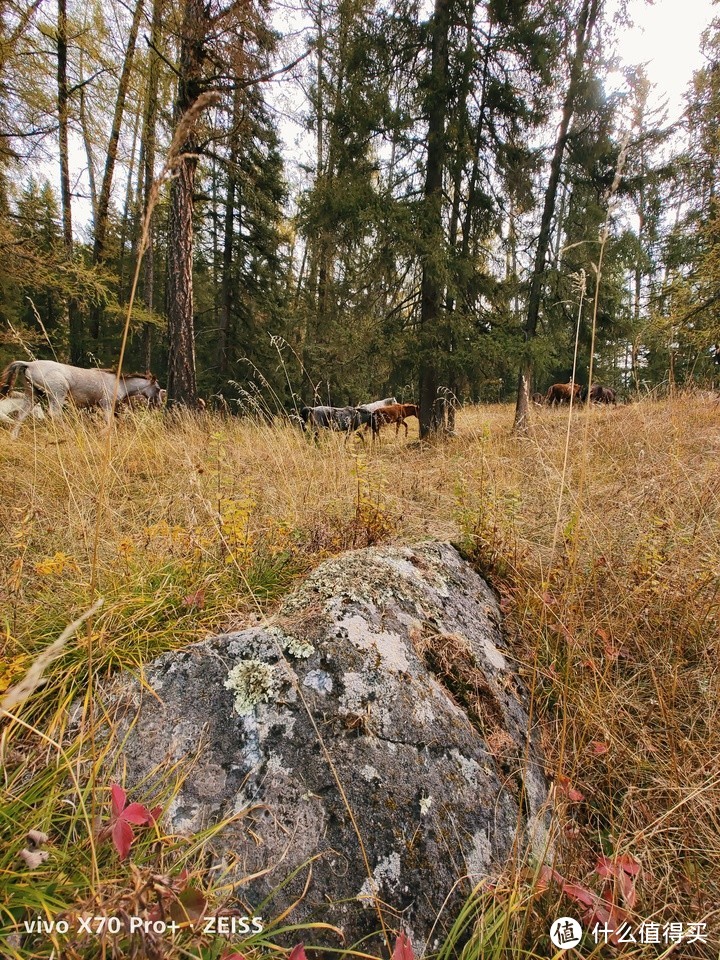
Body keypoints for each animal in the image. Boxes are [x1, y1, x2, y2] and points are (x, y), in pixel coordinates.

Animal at [0, 358, 163, 436]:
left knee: (21, 415)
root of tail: (29, 364)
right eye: (157, 388)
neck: (120, 383)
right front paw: (99, 434)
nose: (160, 404)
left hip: (33, 394)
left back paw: (13, 437)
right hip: (57, 394)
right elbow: (109, 423)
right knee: (54, 414)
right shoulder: (106, 404)